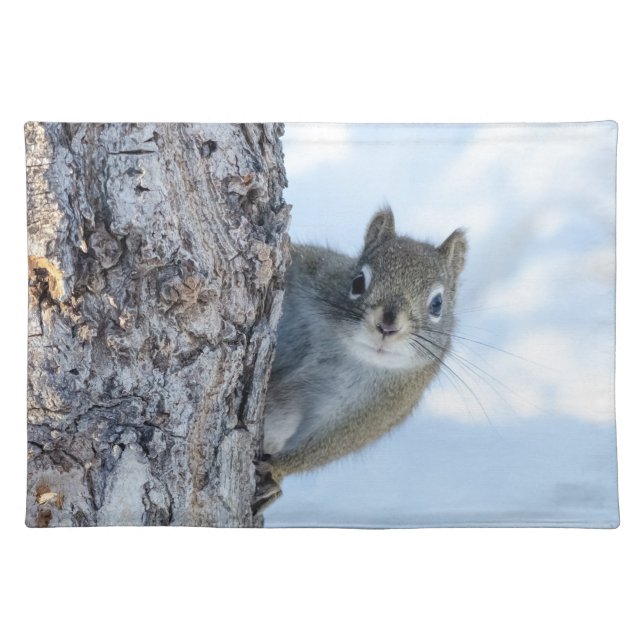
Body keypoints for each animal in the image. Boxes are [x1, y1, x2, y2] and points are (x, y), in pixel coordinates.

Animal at [253, 206, 467, 514]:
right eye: (357, 282)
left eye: (437, 304)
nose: (387, 326)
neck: (346, 350)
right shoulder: (313, 271)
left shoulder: (378, 408)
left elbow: (330, 443)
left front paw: (277, 472)